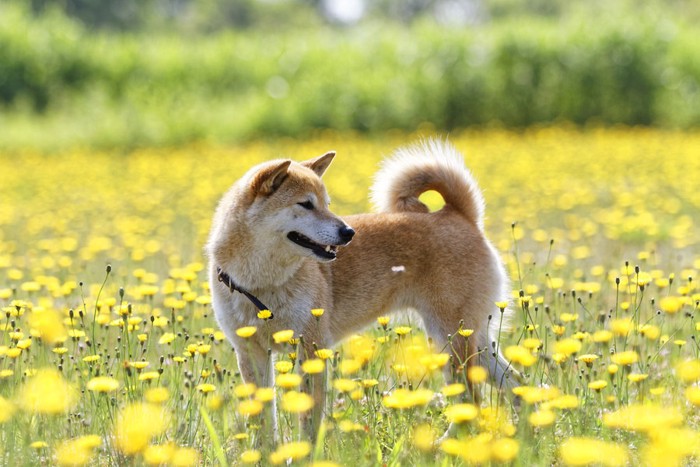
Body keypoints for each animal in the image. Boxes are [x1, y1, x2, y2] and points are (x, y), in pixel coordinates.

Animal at [205, 139, 516, 436]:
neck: (261, 284)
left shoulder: (311, 348)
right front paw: (267, 451)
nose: (348, 232)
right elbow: (263, 423)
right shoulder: (251, 353)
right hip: (475, 343)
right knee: (516, 385)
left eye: (327, 203)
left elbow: (308, 421)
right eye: (305, 204)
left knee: (471, 401)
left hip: (452, 342)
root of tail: (459, 214)